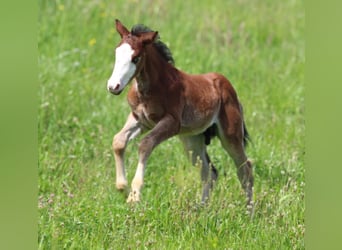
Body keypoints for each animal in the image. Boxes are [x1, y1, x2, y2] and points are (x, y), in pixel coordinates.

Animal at [107, 20, 254, 207]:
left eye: (136, 58)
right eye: (116, 53)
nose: (114, 86)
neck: (152, 87)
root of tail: (228, 87)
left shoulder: (172, 122)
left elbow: (145, 144)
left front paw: (134, 195)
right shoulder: (140, 120)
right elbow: (118, 141)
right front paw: (122, 187)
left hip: (231, 136)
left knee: (245, 171)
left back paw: (248, 211)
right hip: (193, 139)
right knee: (209, 172)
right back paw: (202, 209)